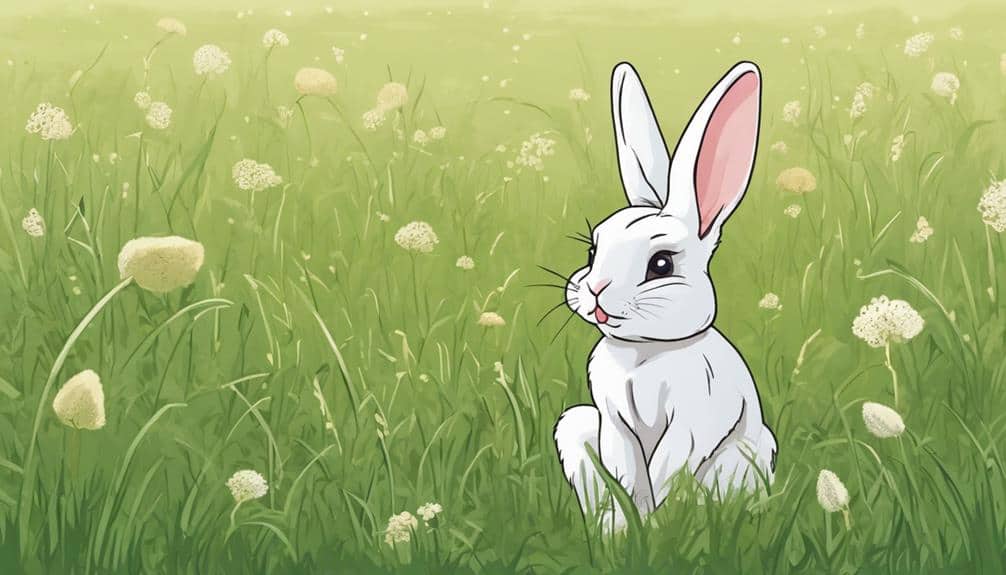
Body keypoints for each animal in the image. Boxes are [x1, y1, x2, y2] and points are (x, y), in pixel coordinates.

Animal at [554, 61, 777, 530]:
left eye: (661, 265)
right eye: (593, 250)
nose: (596, 292)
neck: (645, 353)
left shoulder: (691, 424)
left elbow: (664, 472)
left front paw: (655, 527)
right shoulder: (613, 422)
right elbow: (626, 473)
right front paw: (630, 528)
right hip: (575, 423)